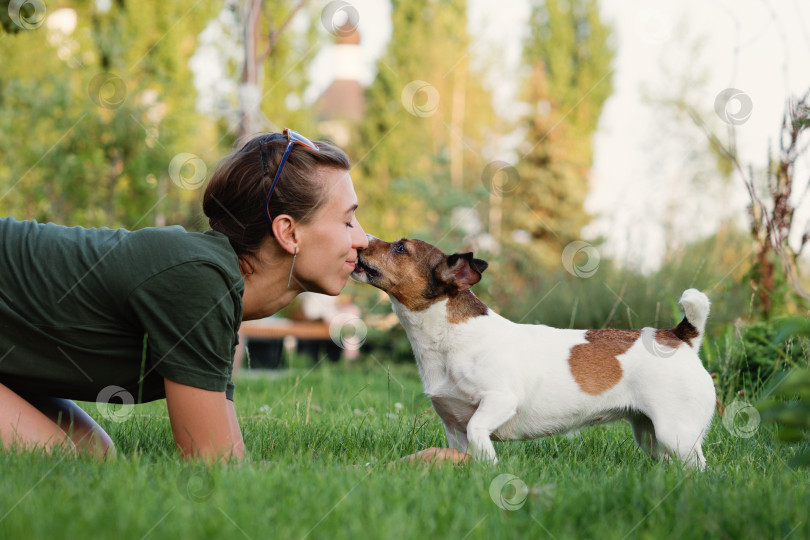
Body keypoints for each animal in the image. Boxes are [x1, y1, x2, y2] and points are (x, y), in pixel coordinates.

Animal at [350, 236, 716, 468]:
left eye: (400, 248)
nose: (360, 238)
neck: (447, 338)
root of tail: (679, 336)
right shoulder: (454, 429)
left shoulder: (499, 400)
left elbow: (479, 430)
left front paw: (489, 466)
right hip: (650, 434)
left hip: (676, 433)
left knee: (699, 467)